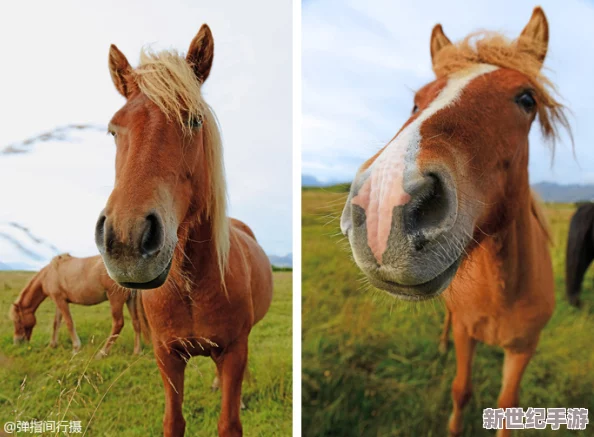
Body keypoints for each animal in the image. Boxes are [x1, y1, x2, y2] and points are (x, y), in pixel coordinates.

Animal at [9, 254, 141, 356]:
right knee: (135, 322)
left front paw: (76, 348)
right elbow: (56, 323)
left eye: (18, 320)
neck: (49, 274)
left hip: (115, 299)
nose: (17, 342)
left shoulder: (61, 301)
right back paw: (136, 352)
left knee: (118, 324)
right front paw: (52, 345)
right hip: (131, 300)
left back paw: (102, 353)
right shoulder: (59, 301)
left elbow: (69, 323)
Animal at [95, 24, 272, 436]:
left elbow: (229, 422)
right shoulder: (167, 355)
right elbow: (173, 421)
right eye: (113, 130)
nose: (126, 240)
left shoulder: (235, 351)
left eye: (193, 120)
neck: (193, 285)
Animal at [338, 7, 564, 436]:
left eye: (527, 99)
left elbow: (507, 406)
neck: (504, 290)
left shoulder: (524, 348)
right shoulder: (465, 332)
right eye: (416, 101)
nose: (384, 204)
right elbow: (461, 389)